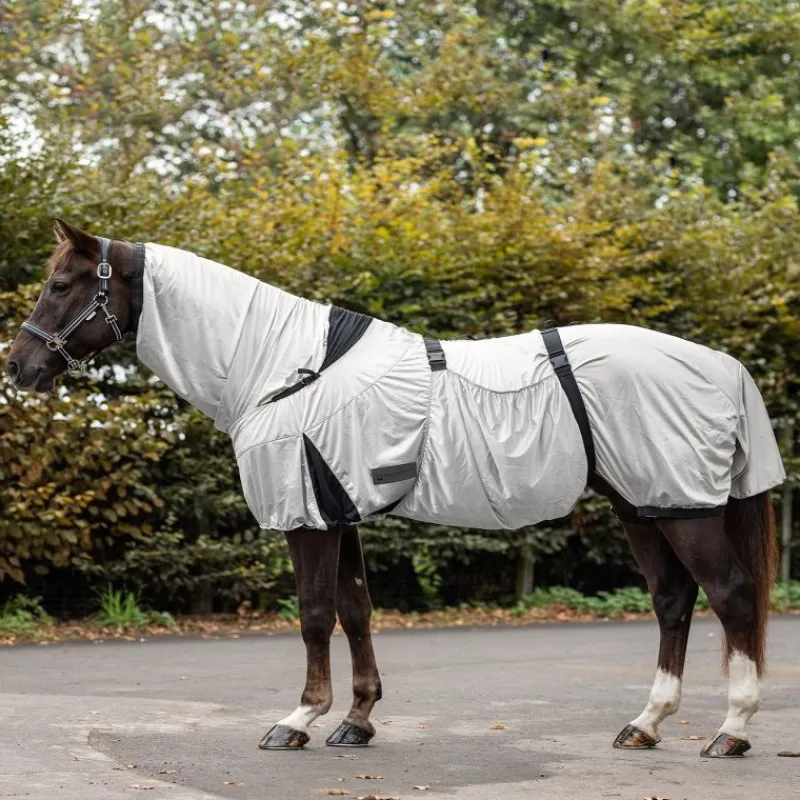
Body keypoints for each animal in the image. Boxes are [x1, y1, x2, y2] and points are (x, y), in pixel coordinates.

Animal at [6, 219, 785, 759]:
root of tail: (720, 363)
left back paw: (732, 731)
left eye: (61, 284)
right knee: (673, 601)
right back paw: (645, 724)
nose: (19, 366)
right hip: (645, 506)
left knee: (731, 596)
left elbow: (315, 614)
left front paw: (297, 720)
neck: (281, 364)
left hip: (684, 509)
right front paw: (356, 721)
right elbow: (356, 612)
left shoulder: (308, 519)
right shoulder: (338, 511)